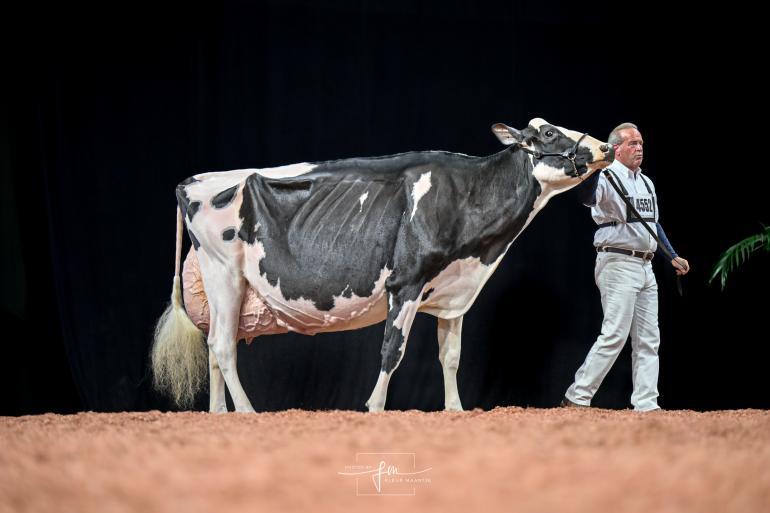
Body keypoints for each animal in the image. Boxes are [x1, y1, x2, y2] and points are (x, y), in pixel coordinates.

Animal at [152, 117, 612, 412]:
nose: (606, 146)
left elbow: (451, 356)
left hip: (224, 286)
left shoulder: (454, 292)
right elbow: (393, 350)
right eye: (549, 132)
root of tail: (193, 181)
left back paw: (219, 414)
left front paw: (456, 411)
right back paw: (247, 413)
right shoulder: (406, 283)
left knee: (216, 346)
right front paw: (374, 407)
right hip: (223, 272)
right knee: (222, 347)